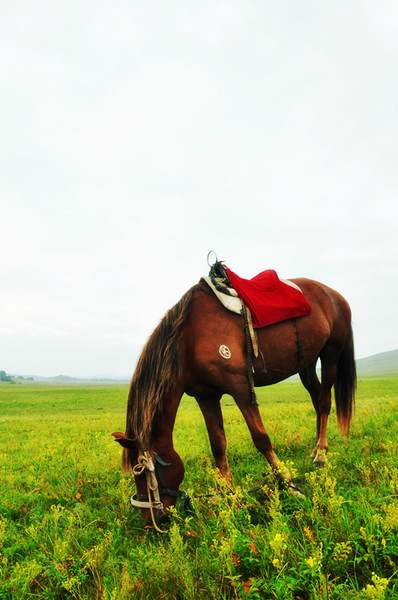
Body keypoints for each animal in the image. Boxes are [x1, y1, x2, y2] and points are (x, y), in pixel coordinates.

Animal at [112, 274, 358, 528]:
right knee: (317, 401)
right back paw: (316, 450)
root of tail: (335, 295)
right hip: (306, 364)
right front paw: (226, 494)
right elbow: (217, 445)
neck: (189, 340)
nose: (151, 521)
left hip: (330, 356)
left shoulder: (240, 387)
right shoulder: (206, 396)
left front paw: (287, 483)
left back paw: (321, 454)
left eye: (142, 474)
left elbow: (261, 439)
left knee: (324, 402)